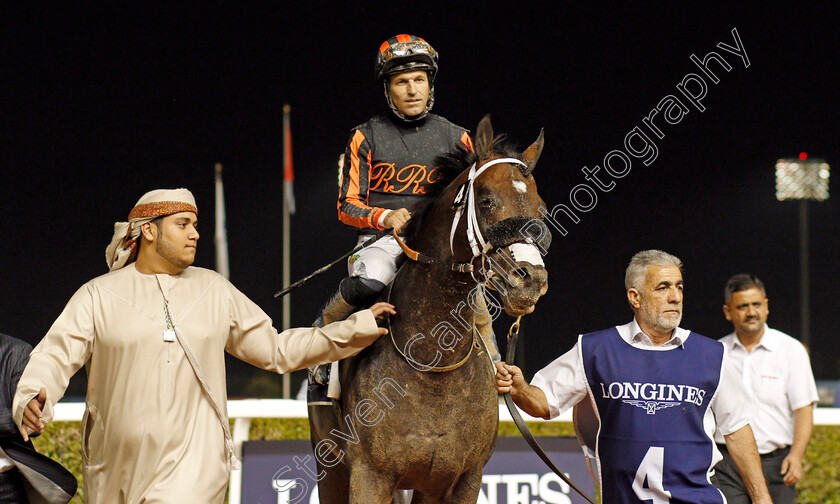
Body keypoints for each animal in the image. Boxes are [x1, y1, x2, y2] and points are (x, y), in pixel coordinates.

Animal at [308, 115, 552, 504]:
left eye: (540, 207)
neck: (433, 368)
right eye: (486, 200)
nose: (530, 280)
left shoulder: (462, 478)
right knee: (363, 283)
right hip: (329, 465)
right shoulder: (369, 475)